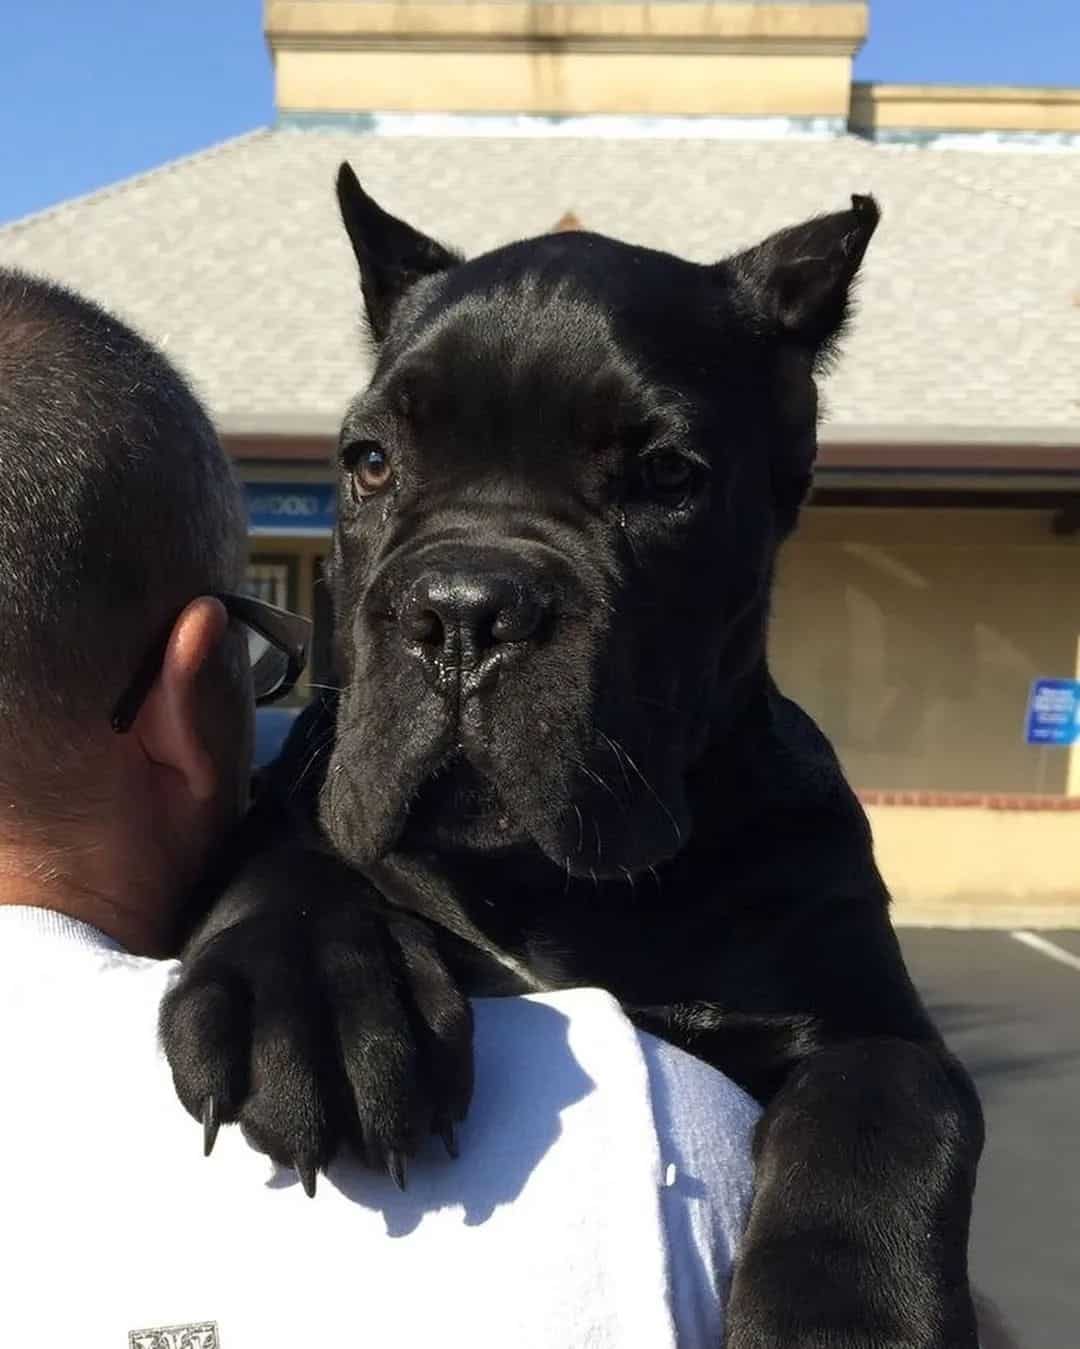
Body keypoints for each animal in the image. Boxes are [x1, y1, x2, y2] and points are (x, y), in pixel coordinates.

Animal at [162, 168, 986, 1349]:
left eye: (667, 475)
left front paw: (843, 1320)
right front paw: (312, 992)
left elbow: (888, 1109)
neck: (554, 887)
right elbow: (294, 862)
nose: (463, 611)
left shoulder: (868, 1016)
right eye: (369, 461)